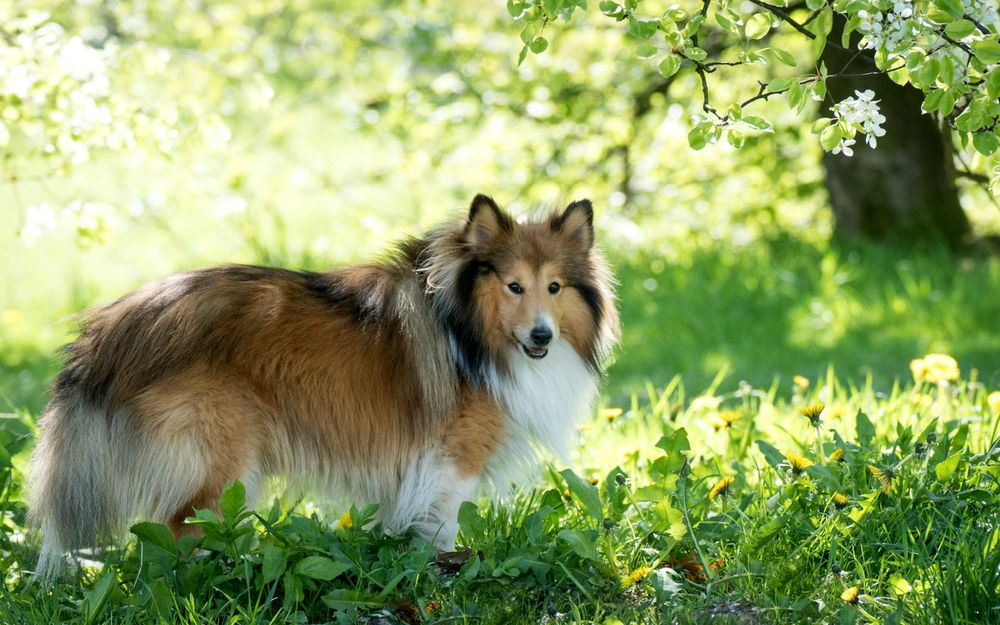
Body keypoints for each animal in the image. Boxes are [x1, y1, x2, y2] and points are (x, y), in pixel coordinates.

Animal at [29, 195, 616, 576]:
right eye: (514, 286)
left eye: (554, 287)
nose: (541, 336)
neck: (467, 325)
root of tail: (113, 329)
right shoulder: (453, 456)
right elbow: (441, 525)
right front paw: (439, 573)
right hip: (220, 456)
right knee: (183, 529)